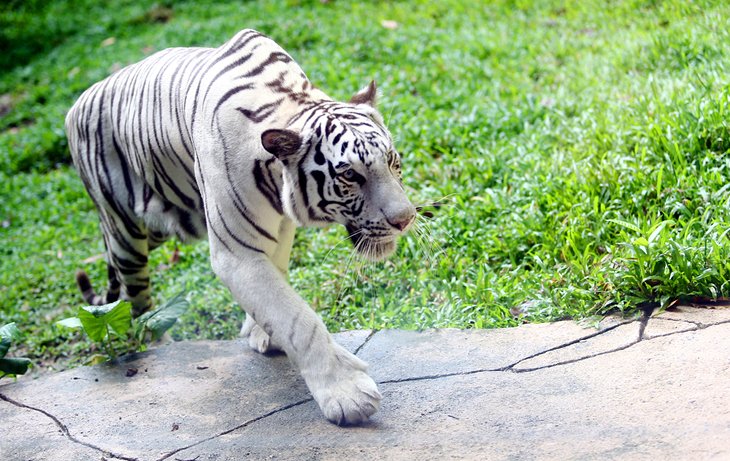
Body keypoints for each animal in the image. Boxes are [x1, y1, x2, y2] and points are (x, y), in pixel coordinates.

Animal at [65, 29, 418, 424]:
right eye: (350, 176)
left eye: (393, 162)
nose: (405, 219)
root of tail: (80, 100)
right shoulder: (237, 255)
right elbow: (296, 317)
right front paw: (346, 394)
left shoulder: (278, 227)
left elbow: (277, 282)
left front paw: (262, 332)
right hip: (125, 232)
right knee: (134, 298)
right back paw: (159, 346)